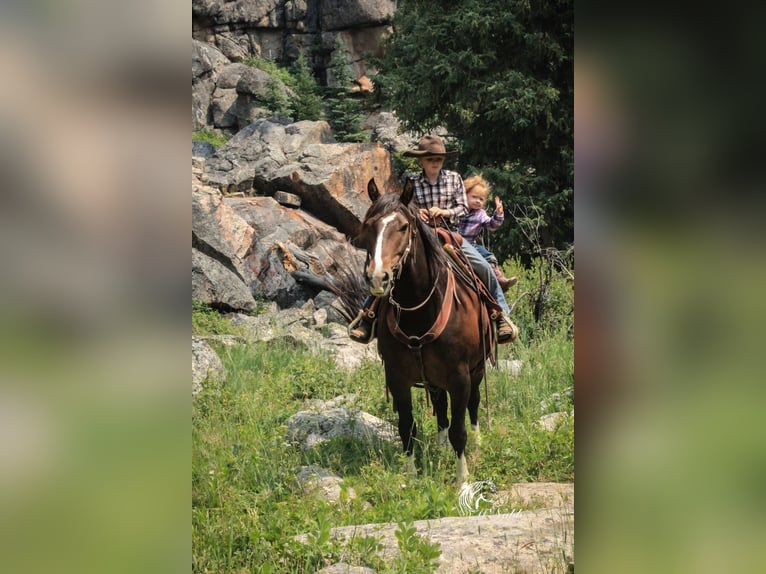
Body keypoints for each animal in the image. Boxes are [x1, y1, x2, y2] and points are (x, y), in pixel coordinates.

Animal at [356, 178, 496, 488]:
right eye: (368, 226)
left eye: (403, 227)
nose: (378, 277)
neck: (418, 311)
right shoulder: (397, 377)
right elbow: (407, 427)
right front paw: (411, 477)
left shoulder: (460, 377)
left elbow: (459, 430)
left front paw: (462, 482)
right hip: (434, 377)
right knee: (440, 406)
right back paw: (441, 446)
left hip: (477, 369)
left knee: (474, 405)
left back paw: (479, 442)